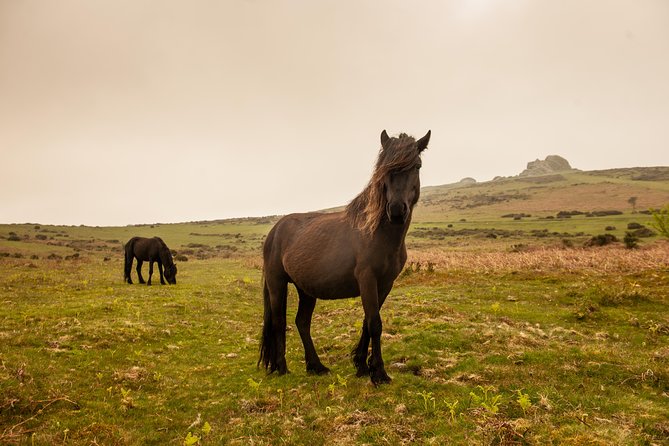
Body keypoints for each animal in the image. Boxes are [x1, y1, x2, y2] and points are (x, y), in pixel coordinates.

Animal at [259, 129, 431, 385]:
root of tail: (275, 230)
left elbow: (368, 323)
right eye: (384, 168)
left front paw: (362, 365)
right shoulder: (367, 279)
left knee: (302, 322)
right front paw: (379, 373)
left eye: (417, 165)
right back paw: (282, 367)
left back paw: (316, 366)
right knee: (279, 322)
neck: (377, 233)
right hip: (277, 283)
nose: (397, 211)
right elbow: (375, 323)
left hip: (306, 289)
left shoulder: (385, 284)